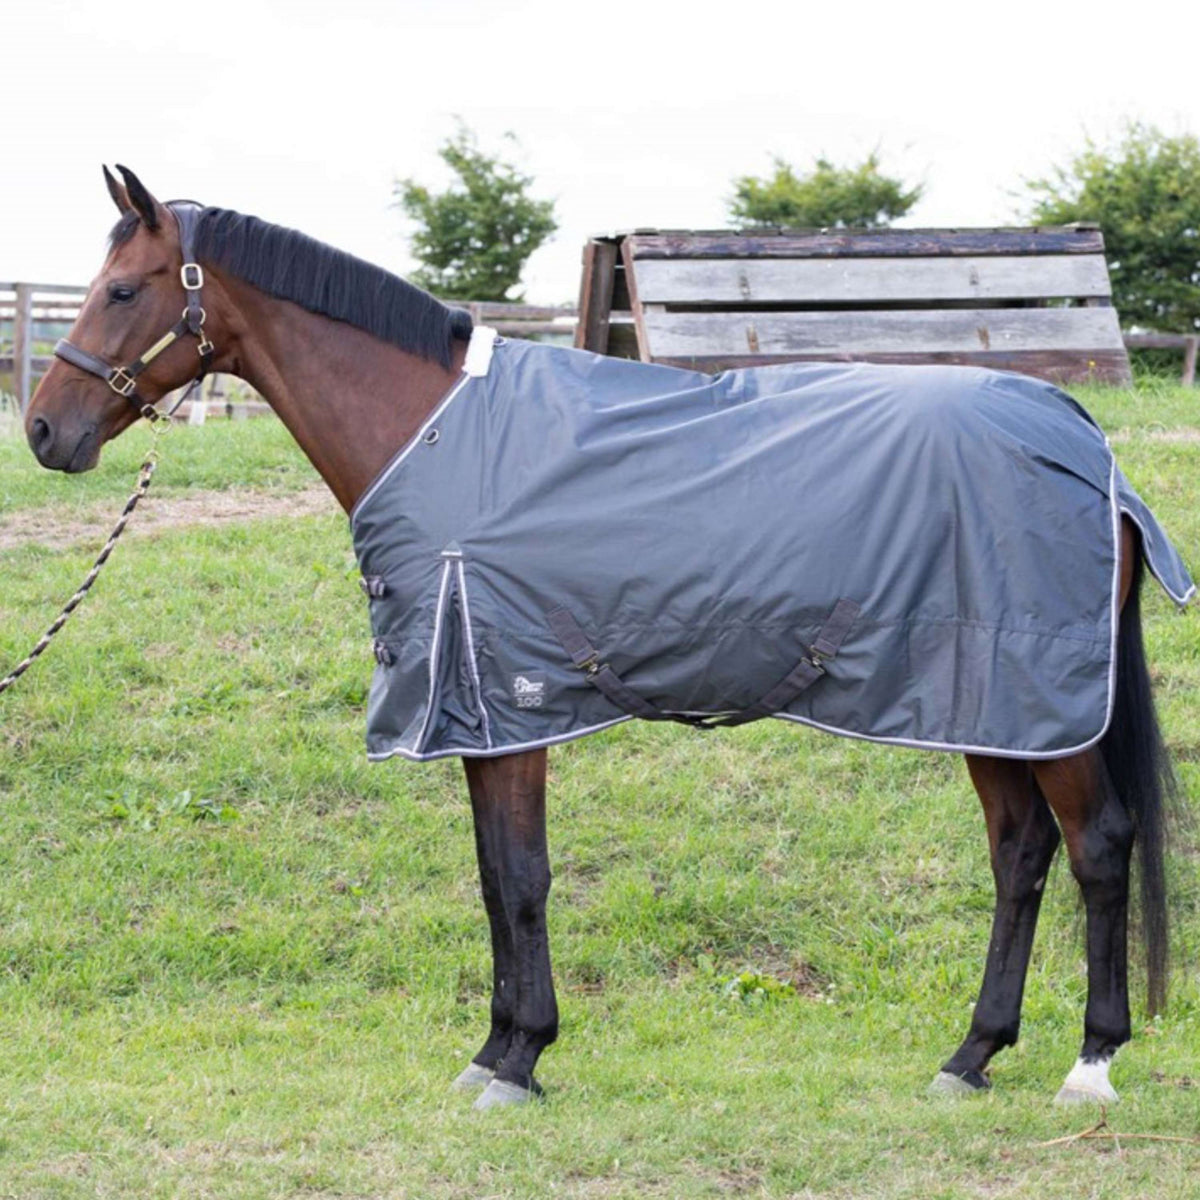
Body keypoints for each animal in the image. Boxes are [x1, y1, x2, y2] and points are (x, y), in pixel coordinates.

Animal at [24, 165, 1187, 1111]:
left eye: (123, 289)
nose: (44, 430)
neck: (439, 433)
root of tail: (1084, 441)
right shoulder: (484, 712)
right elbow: (494, 876)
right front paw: (495, 1053)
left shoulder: (508, 701)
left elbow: (522, 879)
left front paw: (520, 1060)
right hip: (986, 703)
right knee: (1019, 852)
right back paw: (971, 1055)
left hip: (1041, 704)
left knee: (1096, 846)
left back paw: (1090, 1064)